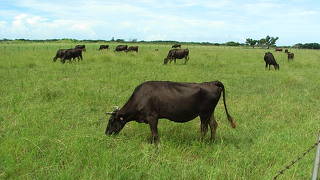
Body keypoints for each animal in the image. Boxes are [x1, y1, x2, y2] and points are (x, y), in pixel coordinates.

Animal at [105, 80, 235, 143]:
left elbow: (154, 133)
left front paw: (155, 145)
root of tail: (212, 82)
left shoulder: (152, 117)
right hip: (210, 112)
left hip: (204, 113)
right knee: (213, 125)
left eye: (111, 121)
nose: (106, 133)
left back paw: (201, 142)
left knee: (204, 128)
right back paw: (211, 142)